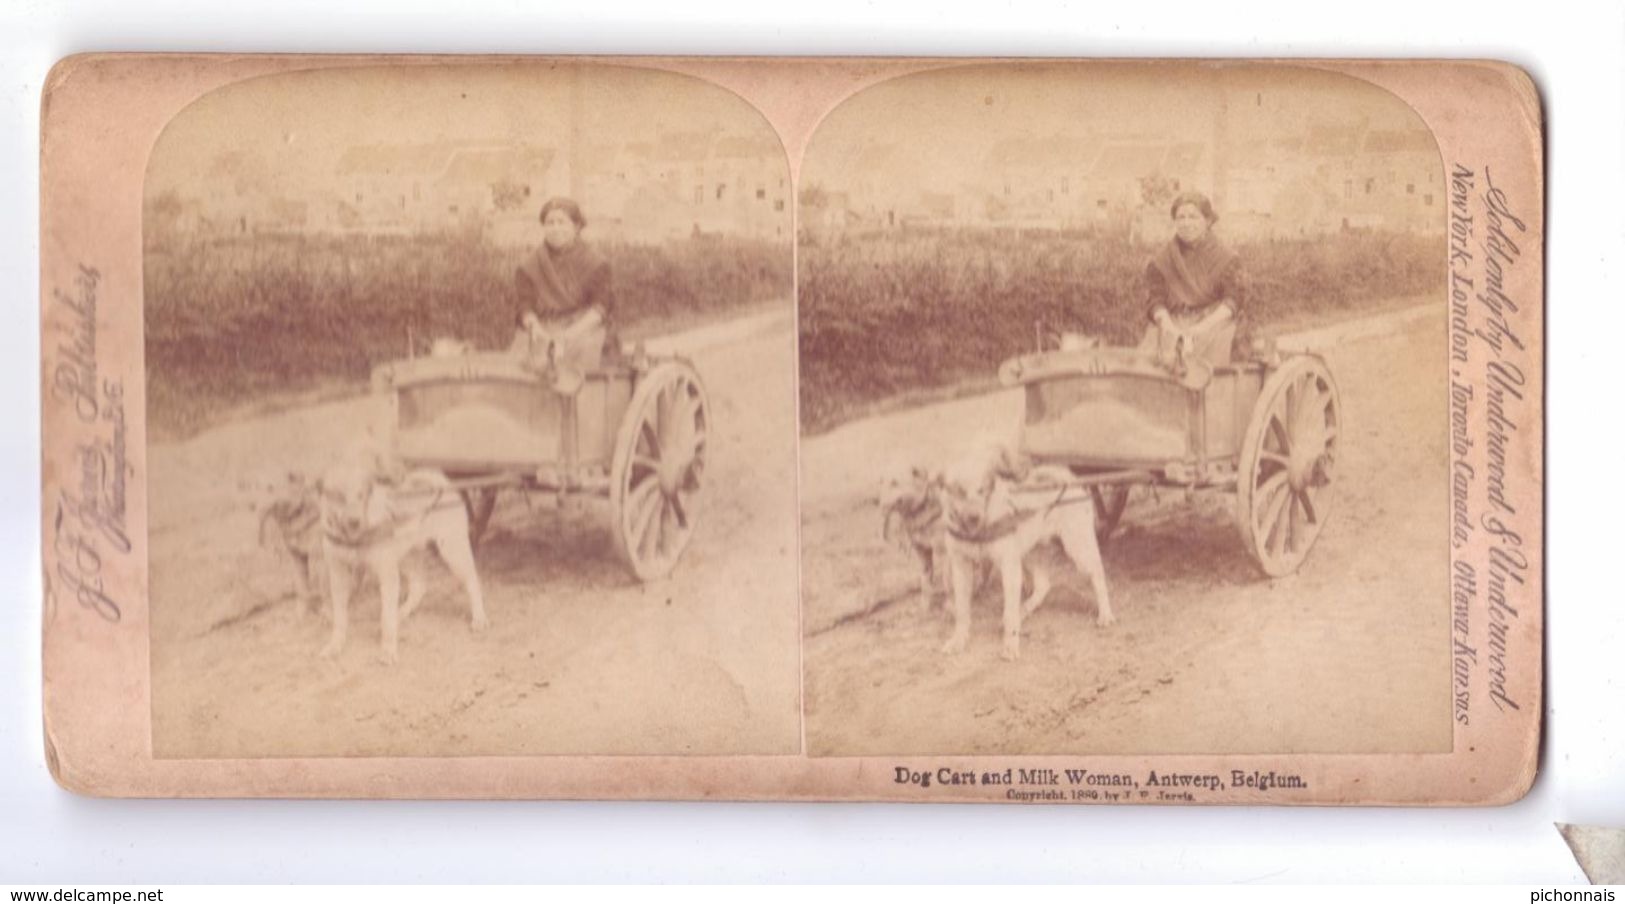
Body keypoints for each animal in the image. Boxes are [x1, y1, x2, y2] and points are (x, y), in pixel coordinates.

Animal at [316, 465, 487, 663]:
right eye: (338, 495)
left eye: (361, 495)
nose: (354, 521)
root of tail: (439, 481)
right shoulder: (338, 574)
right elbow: (340, 618)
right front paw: (335, 645)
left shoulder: (387, 574)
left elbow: (386, 618)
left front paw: (388, 650)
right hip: (407, 557)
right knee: (419, 586)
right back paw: (402, 613)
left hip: (453, 552)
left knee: (473, 582)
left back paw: (479, 618)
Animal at [942, 442, 1118, 660]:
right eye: (958, 491)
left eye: (982, 490)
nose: (974, 517)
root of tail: (1067, 477)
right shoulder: (961, 566)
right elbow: (962, 610)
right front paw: (958, 640)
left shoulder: (1009, 567)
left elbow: (1009, 612)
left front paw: (1010, 645)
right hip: (1031, 552)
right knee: (1043, 585)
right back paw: (1024, 610)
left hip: (1078, 547)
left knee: (1098, 575)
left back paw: (1105, 614)